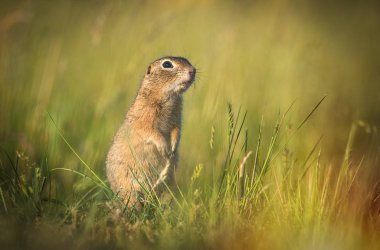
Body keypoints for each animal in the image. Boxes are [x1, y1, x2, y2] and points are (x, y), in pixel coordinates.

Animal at [106, 56, 196, 207]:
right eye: (167, 64)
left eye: (187, 60)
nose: (193, 70)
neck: (167, 98)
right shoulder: (145, 119)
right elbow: (152, 132)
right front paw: (165, 148)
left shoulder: (177, 119)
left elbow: (176, 131)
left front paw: (172, 148)